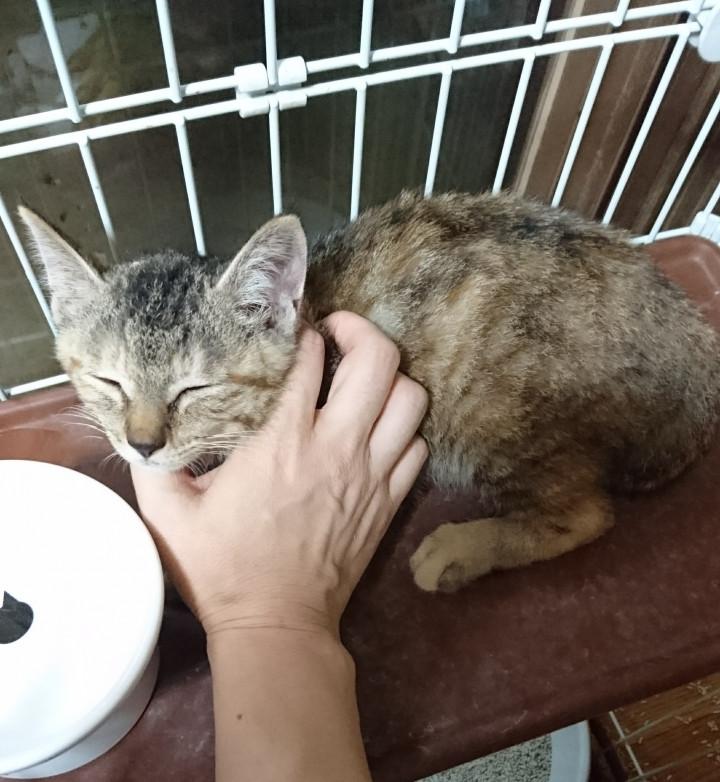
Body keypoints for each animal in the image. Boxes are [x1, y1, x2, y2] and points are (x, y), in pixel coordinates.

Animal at [18, 190, 720, 593]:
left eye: (195, 388)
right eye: (108, 380)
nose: (141, 444)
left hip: (493, 412)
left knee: (586, 515)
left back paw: (459, 550)